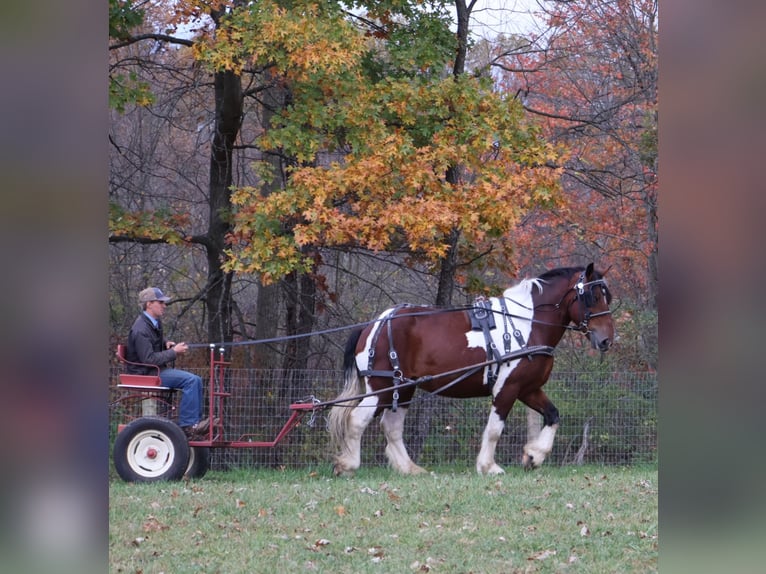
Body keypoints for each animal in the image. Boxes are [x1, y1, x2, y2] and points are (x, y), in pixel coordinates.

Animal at [328, 263, 615, 476]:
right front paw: (489, 467)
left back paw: (409, 468)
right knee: (357, 420)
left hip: (404, 388)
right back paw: (348, 465)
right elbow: (495, 429)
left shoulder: (528, 388)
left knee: (391, 426)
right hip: (382, 387)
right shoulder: (507, 388)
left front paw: (534, 456)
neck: (527, 324)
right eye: (592, 297)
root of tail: (374, 324)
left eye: (606, 296)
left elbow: (553, 415)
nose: (606, 340)